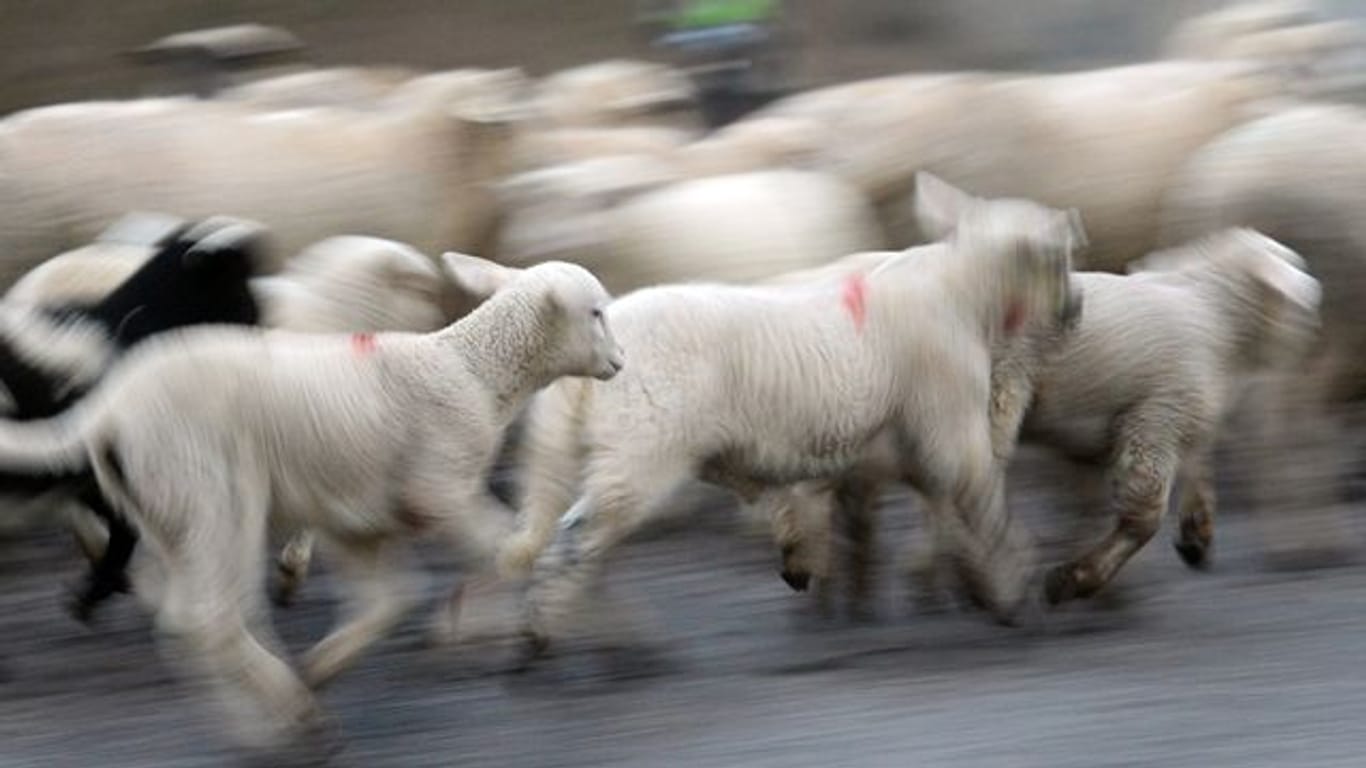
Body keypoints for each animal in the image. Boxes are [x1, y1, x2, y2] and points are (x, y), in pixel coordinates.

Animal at [0, 254, 620, 743]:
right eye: (595, 312)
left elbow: (390, 599)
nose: (619, 362)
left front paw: (327, 664)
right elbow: (508, 549)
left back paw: (275, 707)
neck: (471, 368)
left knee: (187, 614)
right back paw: (288, 721)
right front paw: (533, 624)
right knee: (208, 616)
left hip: (166, 508)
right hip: (213, 494)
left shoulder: (360, 517)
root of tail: (108, 408)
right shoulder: (437, 489)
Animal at [502, 174, 1087, 658]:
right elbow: (982, 502)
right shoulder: (948, 418)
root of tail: (596, 344)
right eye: (1058, 257)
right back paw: (547, 635)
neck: (964, 296)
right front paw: (1013, 590)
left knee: (576, 536)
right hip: (643, 445)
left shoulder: (894, 446)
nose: (1075, 307)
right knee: (582, 537)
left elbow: (920, 509)